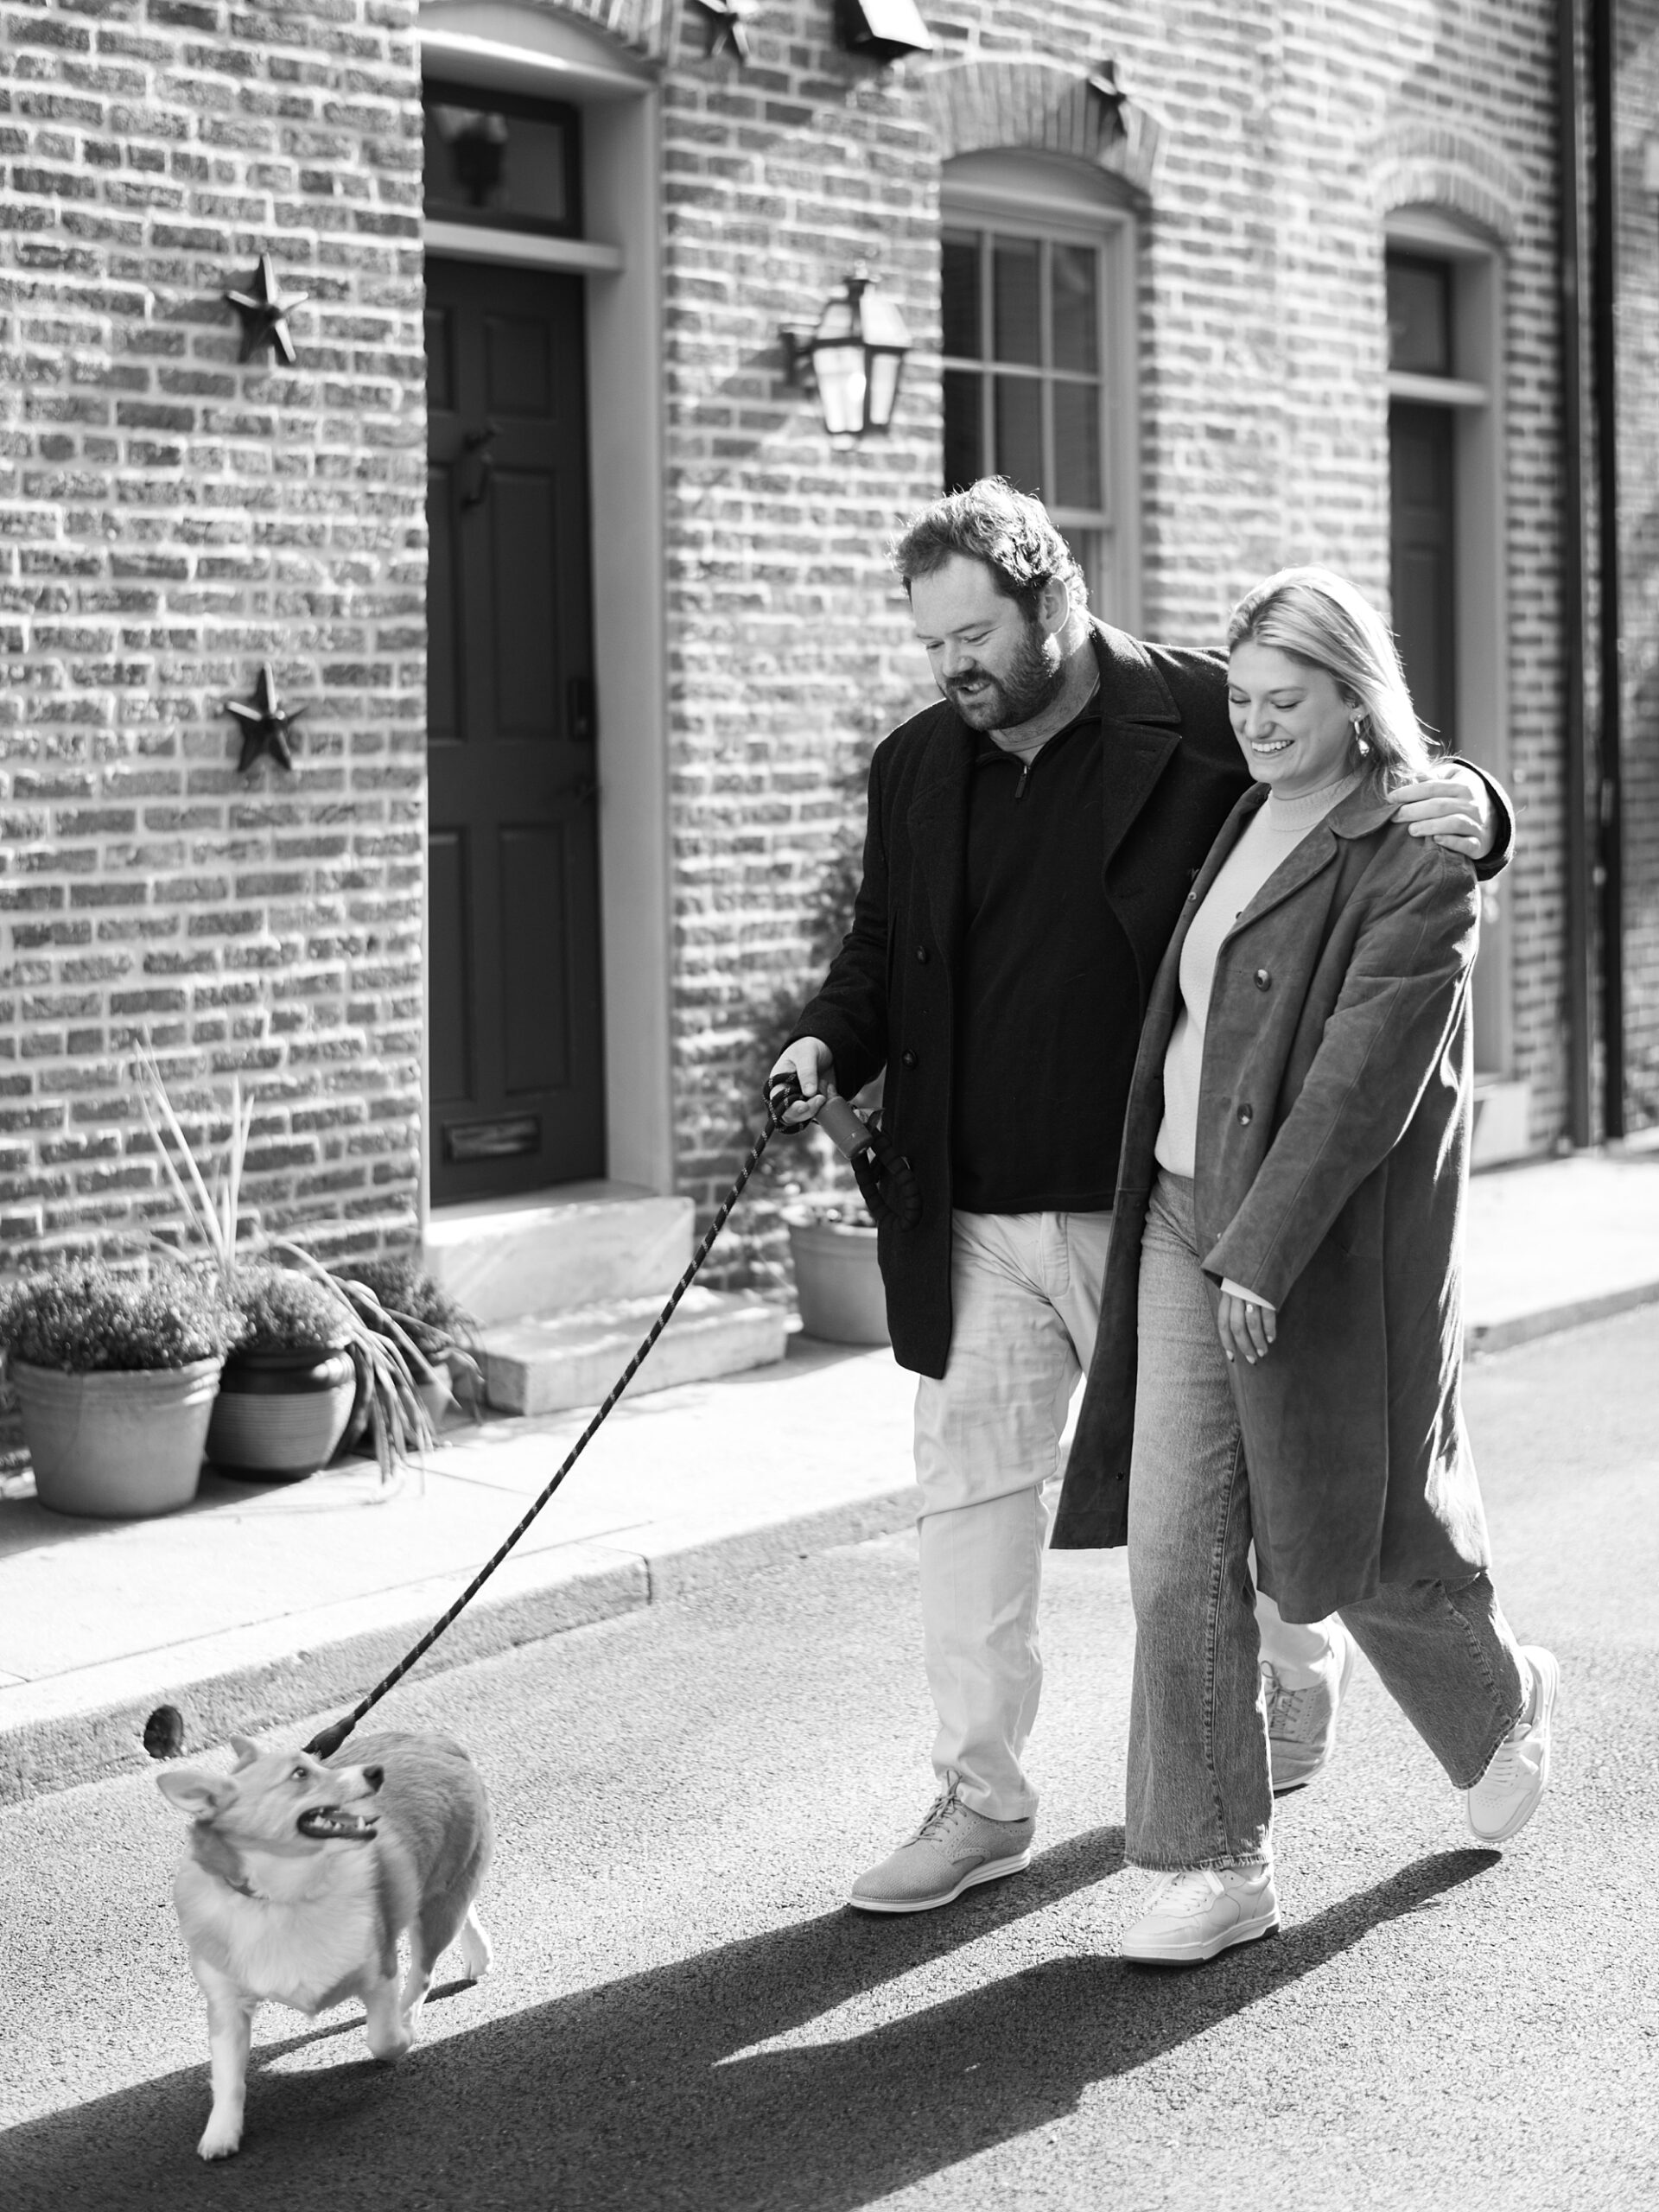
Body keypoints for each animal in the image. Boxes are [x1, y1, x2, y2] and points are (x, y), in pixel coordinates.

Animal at [155, 1725, 493, 2158]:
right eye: (300, 1774)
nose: (376, 1772)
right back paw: (477, 1952)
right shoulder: (227, 2006)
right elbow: (228, 2077)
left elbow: (383, 2038)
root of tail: (434, 1739)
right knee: (461, 1908)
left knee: (424, 1968)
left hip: (437, 1910)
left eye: (317, 1763)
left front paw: (403, 2037)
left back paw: (415, 2008)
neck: (286, 1896)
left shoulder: (379, 1971)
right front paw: (221, 2134)